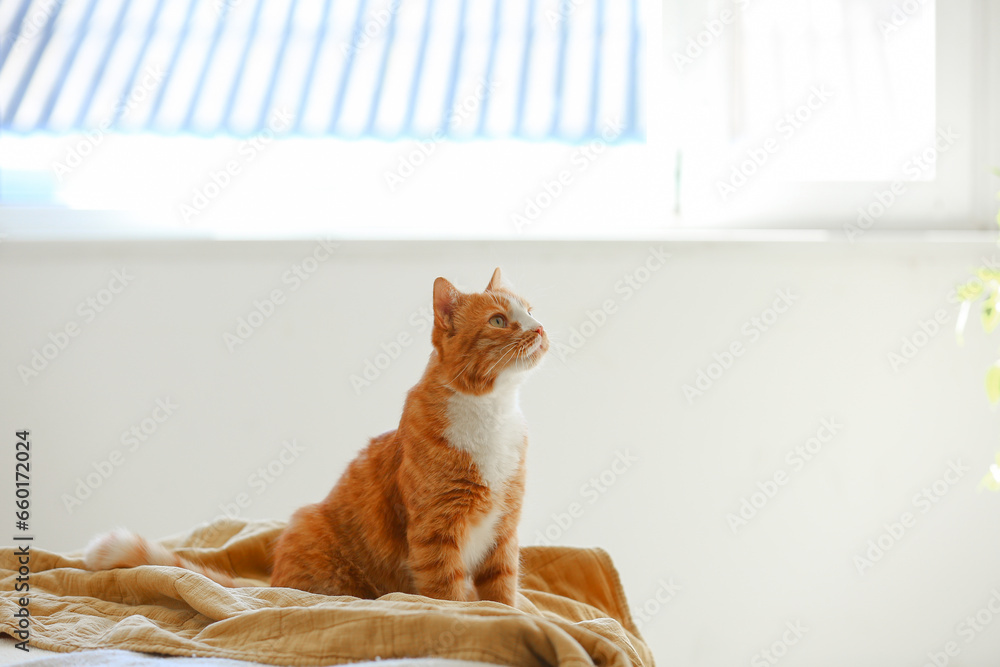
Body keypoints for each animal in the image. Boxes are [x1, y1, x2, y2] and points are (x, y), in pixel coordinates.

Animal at [87, 268, 552, 608]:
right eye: (498, 320)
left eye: (530, 310)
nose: (540, 329)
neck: (493, 412)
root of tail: (272, 580)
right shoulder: (436, 534)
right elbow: (449, 598)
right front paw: (469, 616)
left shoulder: (504, 531)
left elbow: (502, 592)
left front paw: (510, 615)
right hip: (312, 531)